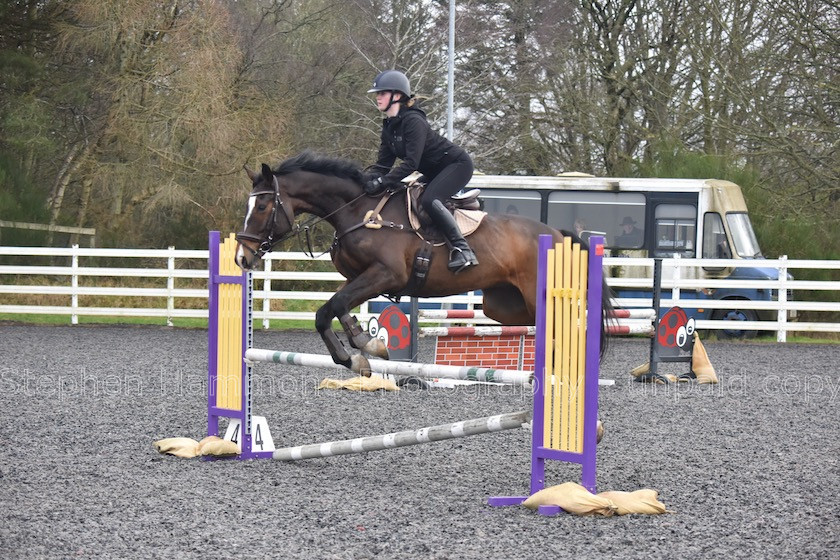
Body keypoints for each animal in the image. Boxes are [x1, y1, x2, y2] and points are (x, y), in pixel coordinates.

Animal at [236, 151, 612, 374]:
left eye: (263, 207)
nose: (242, 257)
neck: (357, 210)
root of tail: (559, 234)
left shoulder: (386, 274)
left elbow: (334, 307)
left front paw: (360, 350)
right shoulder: (360, 276)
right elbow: (332, 309)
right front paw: (359, 352)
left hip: (539, 298)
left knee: (568, 329)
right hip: (504, 306)